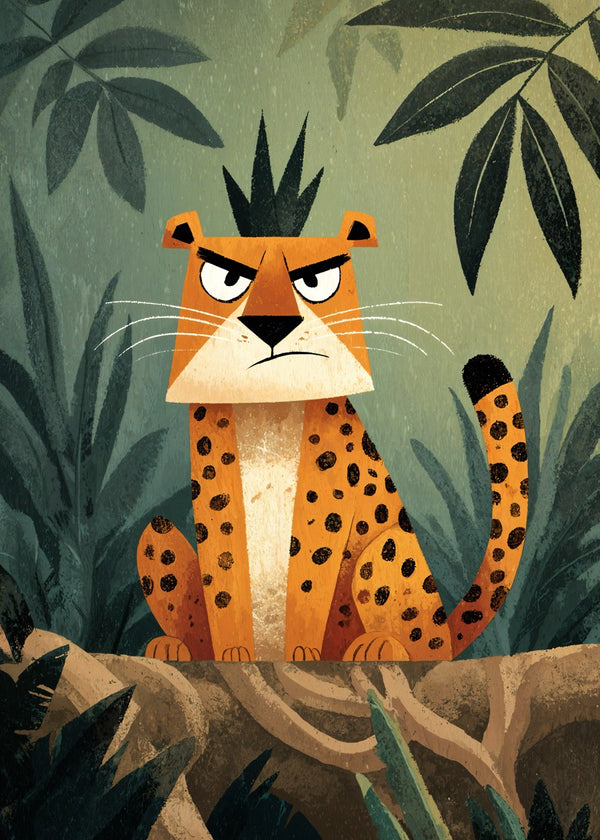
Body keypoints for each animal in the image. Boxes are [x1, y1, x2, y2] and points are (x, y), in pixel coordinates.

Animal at [136, 117, 528, 662]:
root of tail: (448, 633)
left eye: (317, 280)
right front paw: (234, 654)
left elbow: (307, 577)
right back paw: (174, 646)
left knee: (422, 640)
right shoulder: (217, 494)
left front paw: (302, 654)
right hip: (158, 536)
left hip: (384, 557)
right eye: (225, 278)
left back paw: (379, 646)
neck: (271, 408)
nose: (272, 324)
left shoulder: (326, 505)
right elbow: (225, 579)